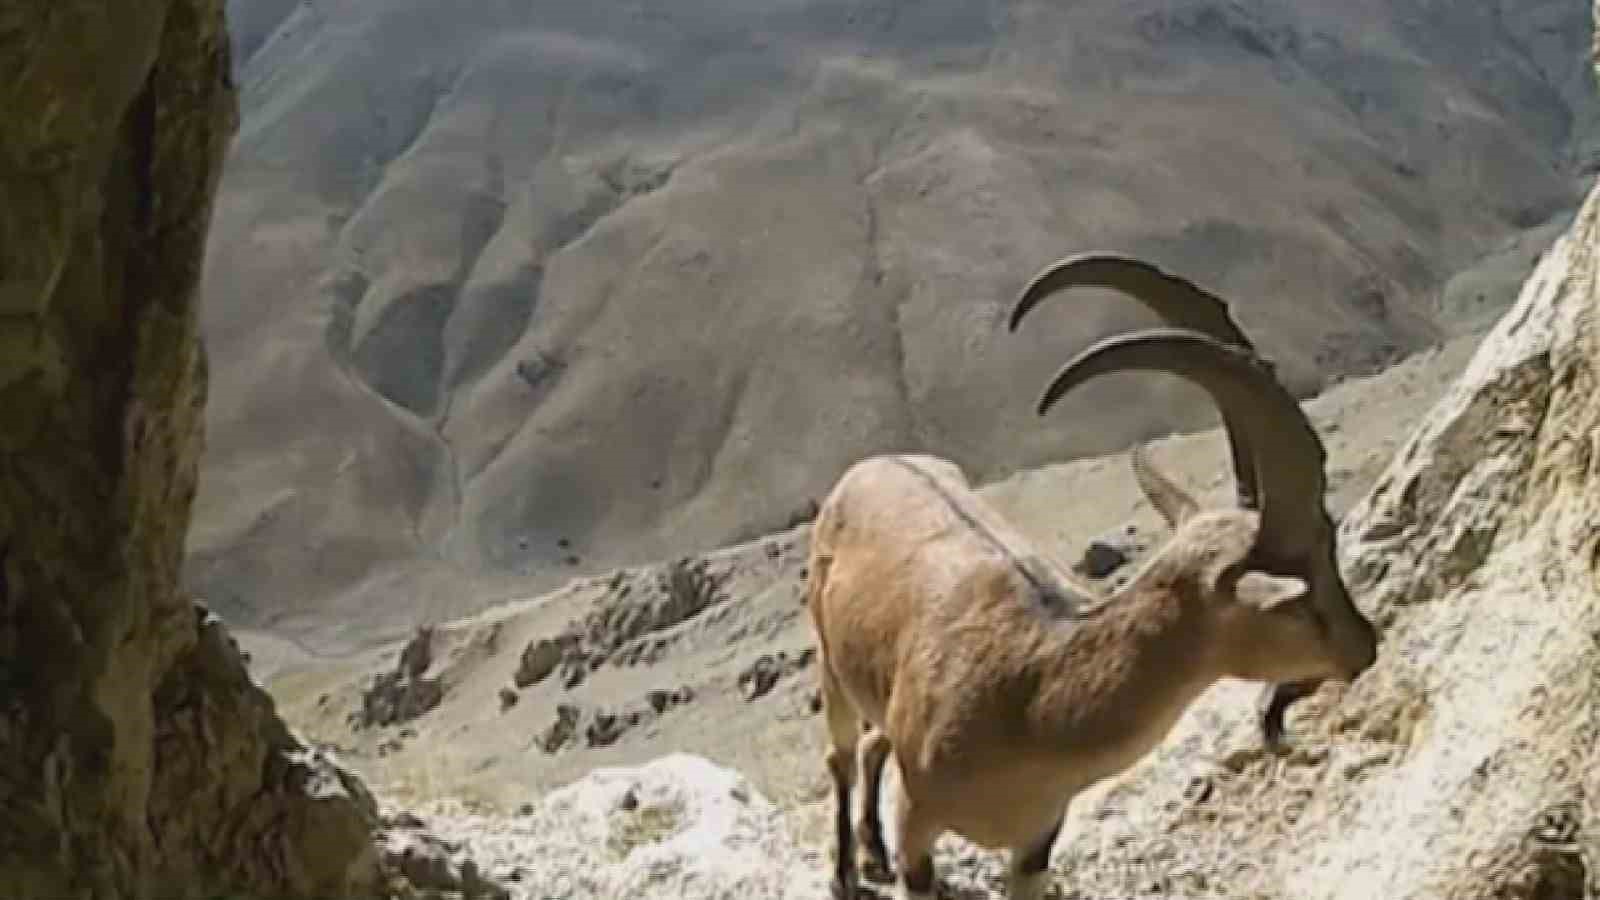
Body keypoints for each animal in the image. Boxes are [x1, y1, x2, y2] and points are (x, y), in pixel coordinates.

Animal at [806, 253, 1382, 896]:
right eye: (1304, 591)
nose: (1366, 644)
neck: (1034, 700)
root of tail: (873, 464)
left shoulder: (1036, 842)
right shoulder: (919, 826)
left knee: (873, 741)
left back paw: (871, 854)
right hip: (828, 655)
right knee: (841, 754)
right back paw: (846, 872)